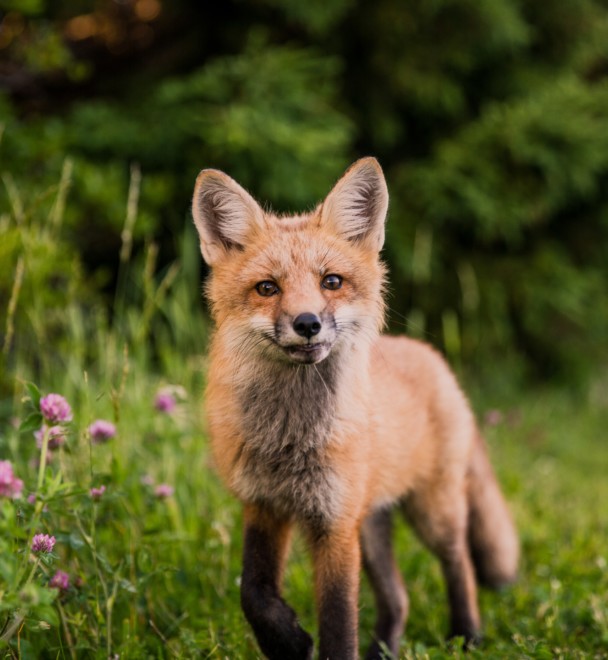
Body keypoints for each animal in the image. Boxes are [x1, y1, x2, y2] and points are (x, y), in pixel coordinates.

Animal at [191, 157, 516, 656]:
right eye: (267, 288)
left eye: (331, 282)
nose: (308, 323)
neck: (290, 440)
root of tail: (433, 357)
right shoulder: (264, 505)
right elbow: (254, 591)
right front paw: (286, 641)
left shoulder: (336, 523)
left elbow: (339, 621)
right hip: (373, 524)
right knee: (399, 598)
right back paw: (385, 649)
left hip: (432, 512)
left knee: (459, 561)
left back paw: (467, 634)